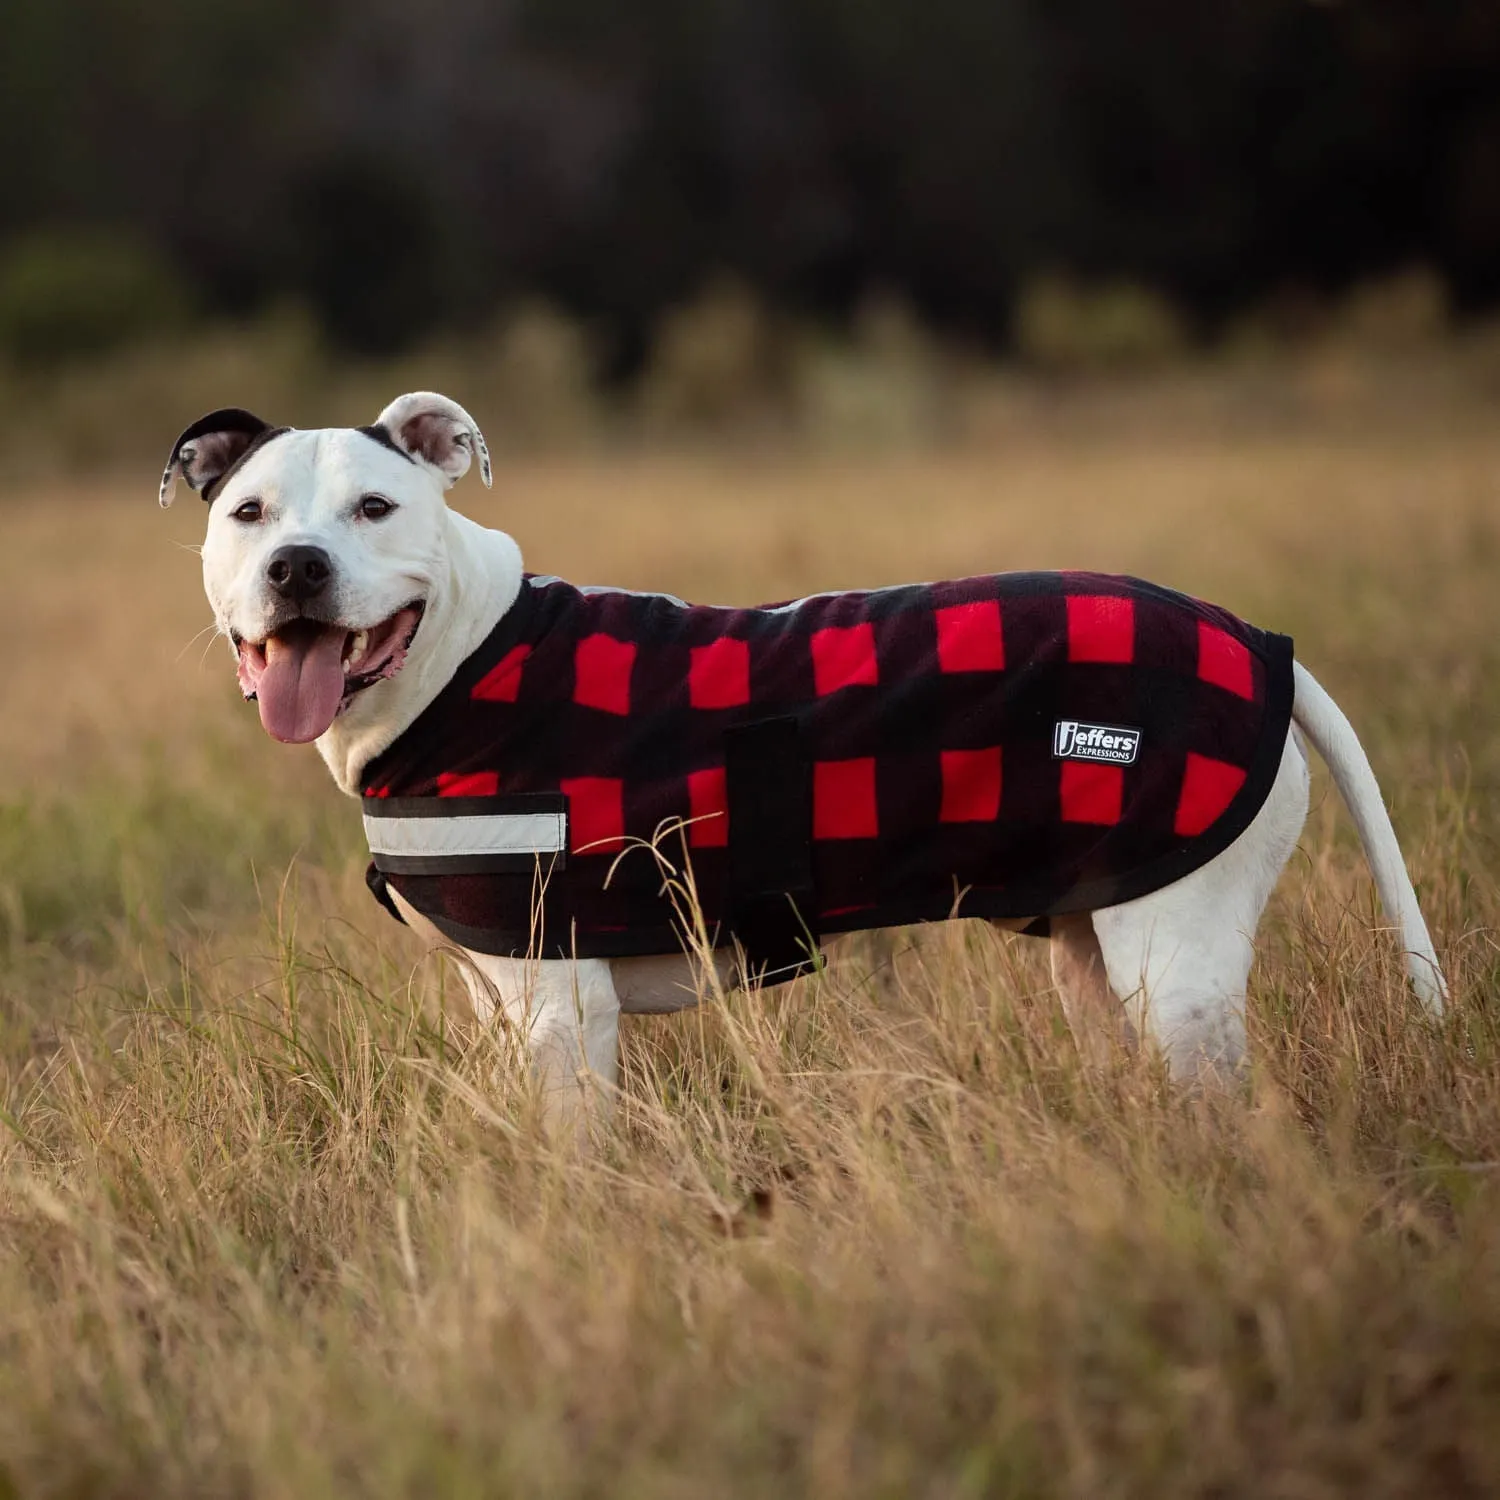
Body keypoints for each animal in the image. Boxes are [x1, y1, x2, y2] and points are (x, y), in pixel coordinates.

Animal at [158, 396, 1446, 1128]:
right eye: (249, 514)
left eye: (376, 508)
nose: (297, 568)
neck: (462, 654)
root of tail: (1255, 641)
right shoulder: (501, 998)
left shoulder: (564, 1012)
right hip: (1095, 958)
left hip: (1177, 969)